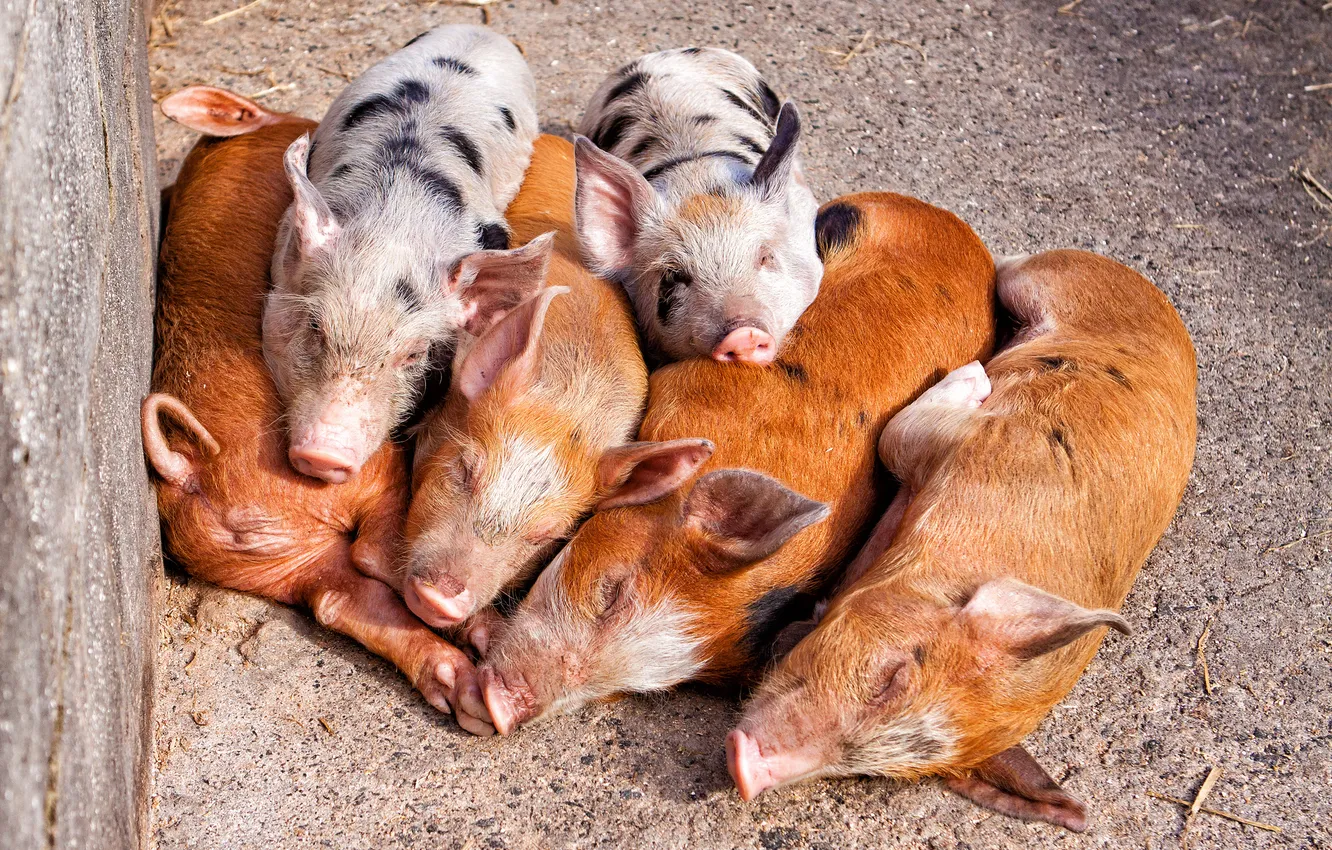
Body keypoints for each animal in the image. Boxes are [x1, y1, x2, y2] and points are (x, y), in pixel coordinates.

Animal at [143, 89, 477, 722]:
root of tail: (188, 469)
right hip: (354, 473)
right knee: (379, 555)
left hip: (278, 562)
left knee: (337, 598)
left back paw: (467, 693)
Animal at [725, 250, 1198, 832]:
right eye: (894, 675)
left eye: (874, 771)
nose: (746, 769)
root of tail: (1159, 301)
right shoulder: (966, 442)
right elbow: (894, 436)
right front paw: (975, 376)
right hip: (1042, 277)